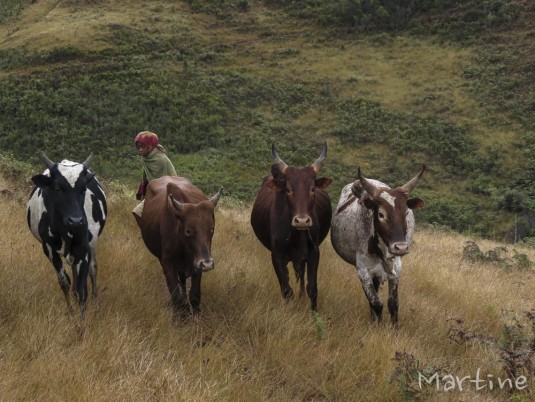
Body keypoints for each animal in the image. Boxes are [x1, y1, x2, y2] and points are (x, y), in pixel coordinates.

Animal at [27, 152, 107, 312]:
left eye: (83, 188)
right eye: (57, 188)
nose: (76, 220)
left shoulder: (83, 248)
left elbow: (83, 287)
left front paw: (83, 316)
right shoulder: (49, 249)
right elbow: (64, 281)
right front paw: (70, 312)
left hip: (91, 245)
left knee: (93, 269)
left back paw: (95, 302)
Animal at [136, 176, 224, 318]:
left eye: (211, 229)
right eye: (188, 231)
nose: (207, 264)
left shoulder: (196, 265)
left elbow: (194, 295)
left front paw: (196, 316)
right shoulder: (168, 264)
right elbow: (177, 297)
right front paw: (180, 317)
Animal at [250, 142, 332, 310]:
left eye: (312, 189)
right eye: (288, 190)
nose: (302, 221)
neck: (296, 235)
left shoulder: (314, 252)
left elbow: (312, 288)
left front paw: (314, 312)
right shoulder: (276, 256)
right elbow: (287, 290)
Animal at [328, 166, 426, 326]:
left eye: (406, 213)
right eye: (380, 214)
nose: (401, 247)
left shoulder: (396, 270)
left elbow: (393, 304)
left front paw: (394, 328)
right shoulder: (363, 270)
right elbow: (376, 302)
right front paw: (376, 325)